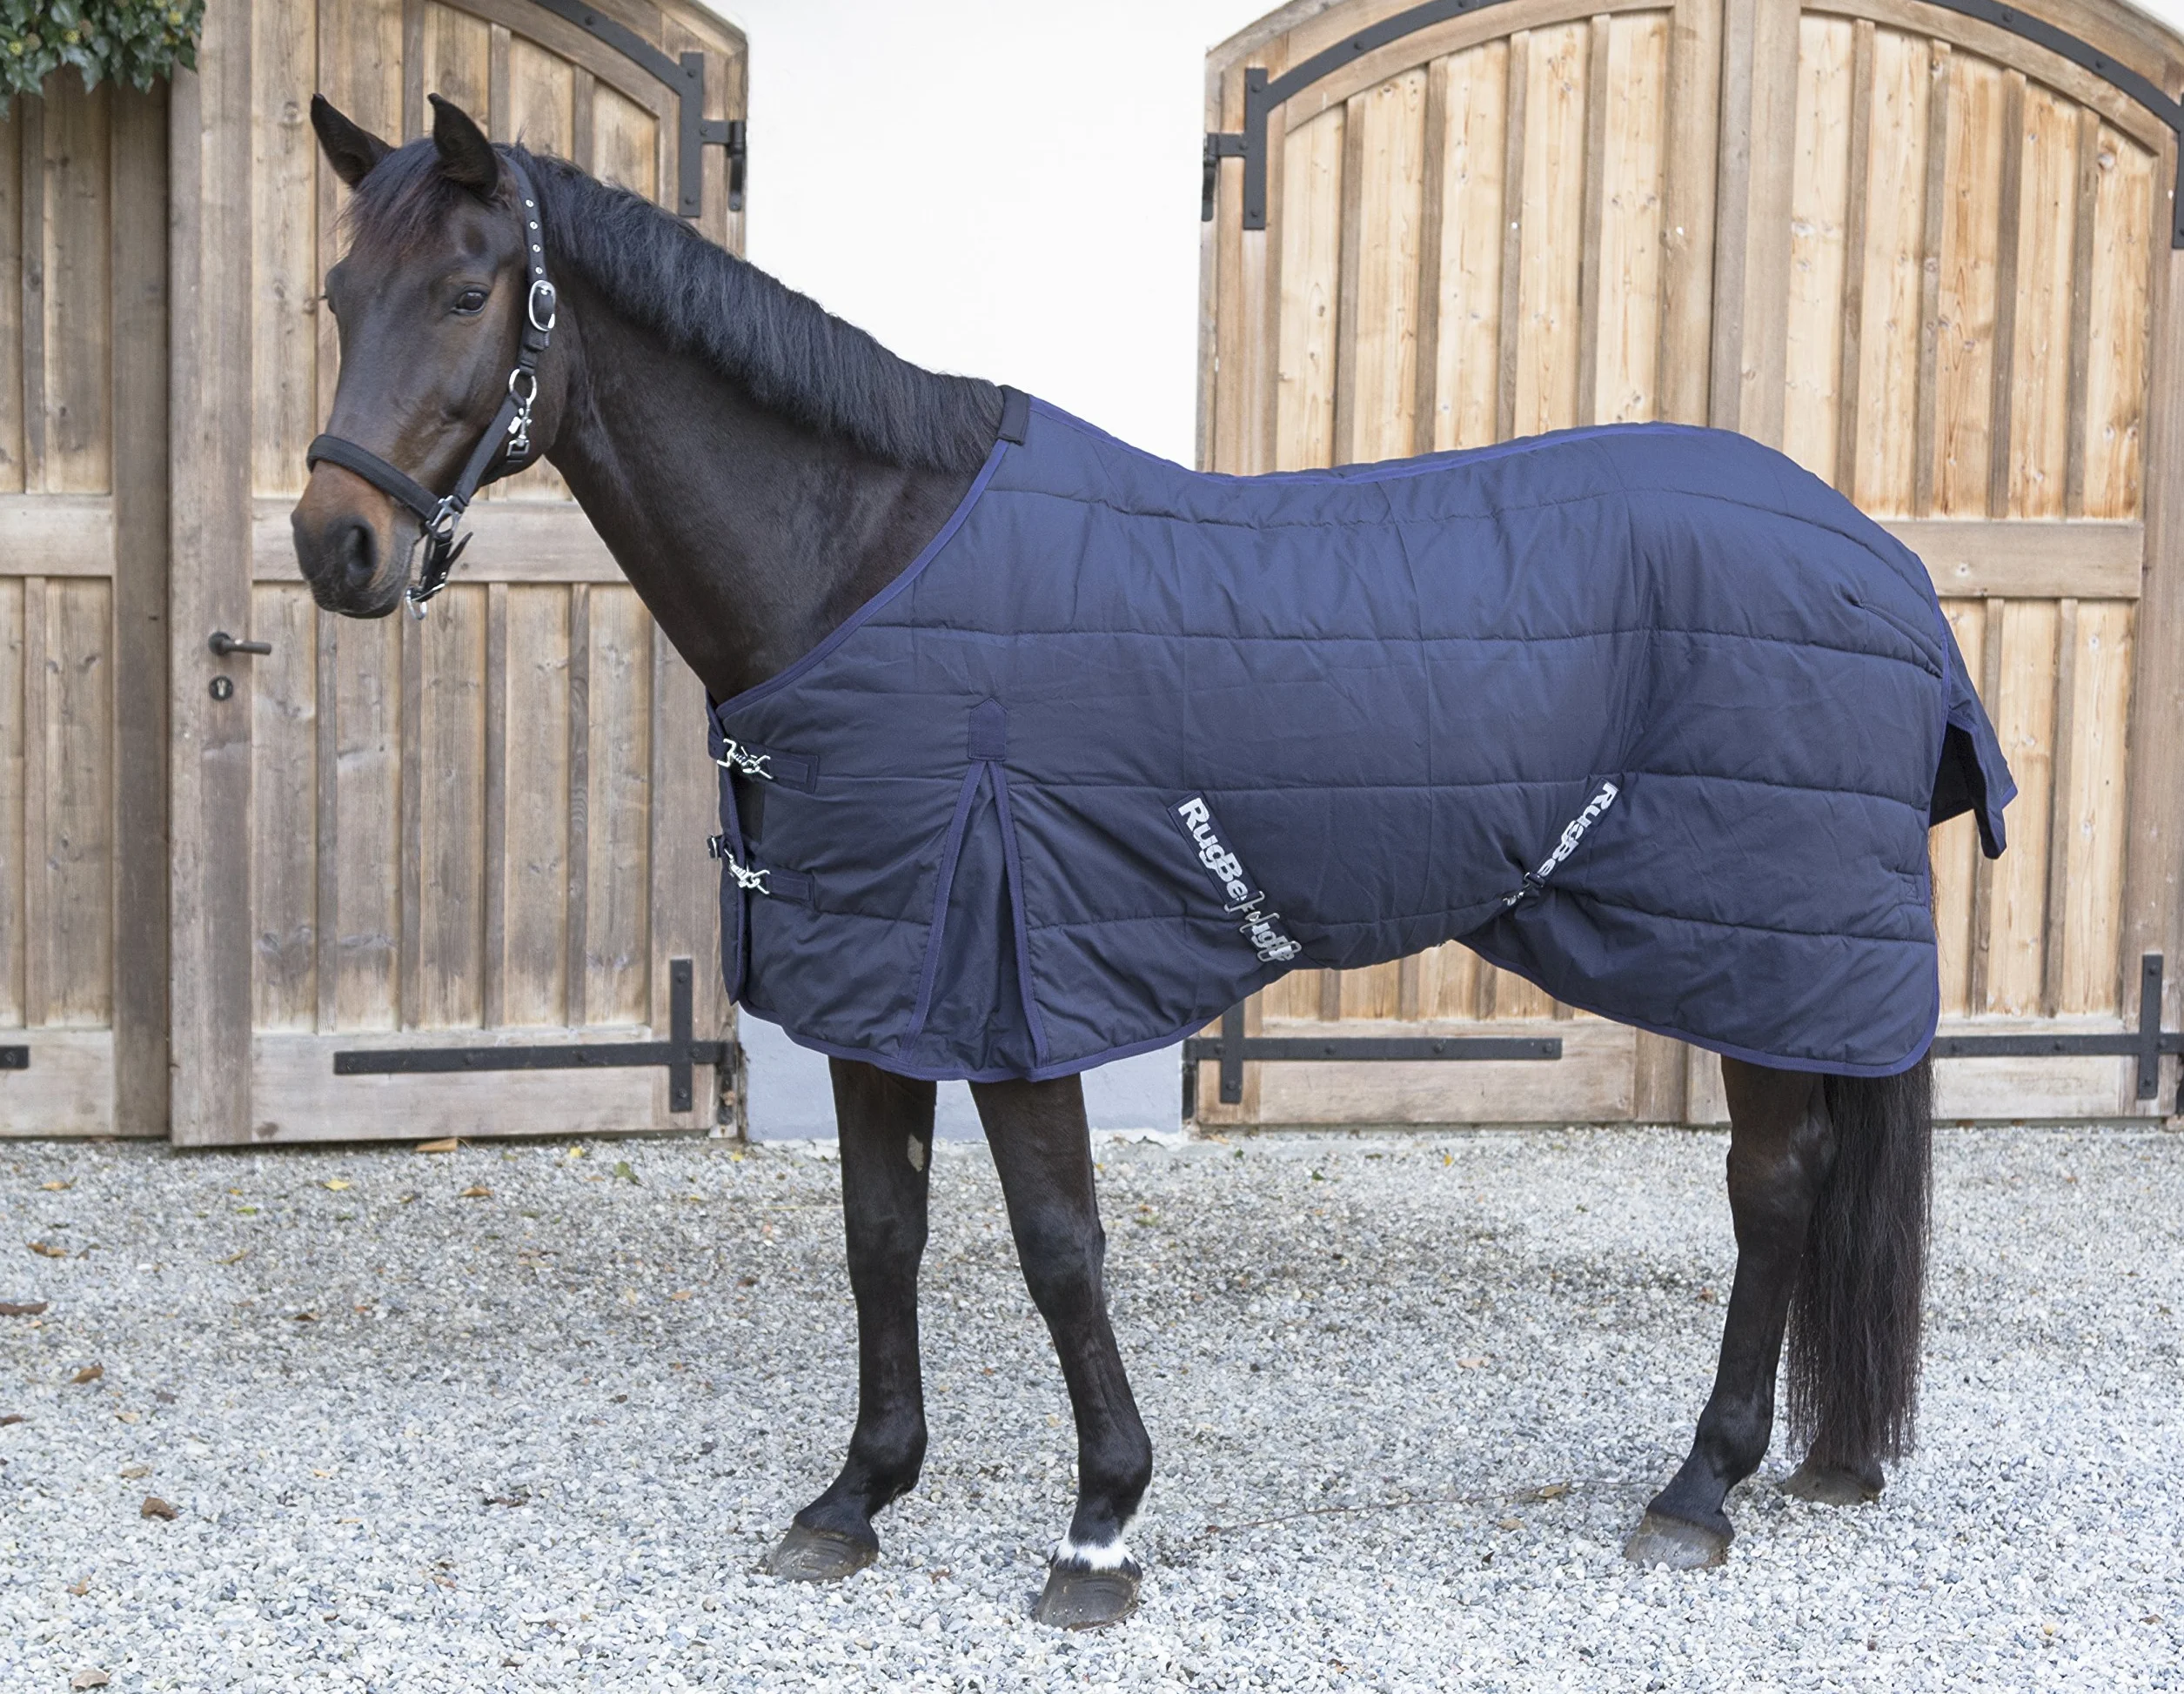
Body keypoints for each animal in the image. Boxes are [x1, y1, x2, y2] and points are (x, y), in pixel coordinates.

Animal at [291, 92, 1973, 1629]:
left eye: (464, 293)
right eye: (335, 293)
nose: (333, 544)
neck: (865, 562)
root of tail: (1878, 557)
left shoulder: (1010, 972)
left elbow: (1058, 1248)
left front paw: (1097, 1528)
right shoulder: (874, 978)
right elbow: (881, 1235)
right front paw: (855, 1496)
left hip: (1757, 949)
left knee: (1773, 1185)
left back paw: (1700, 1487)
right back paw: (1809, 1459)